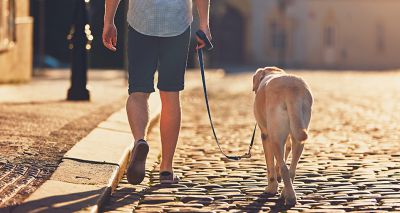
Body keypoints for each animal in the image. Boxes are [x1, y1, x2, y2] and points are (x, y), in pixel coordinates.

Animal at [253, 66, 312, 205]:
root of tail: (292, 89)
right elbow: (285, 152)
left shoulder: (265, 135)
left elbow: (270, 164)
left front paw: (271, 187)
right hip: (298, 134)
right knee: (292, 168)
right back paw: (287, 192)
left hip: (274, 137)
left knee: (285, 167)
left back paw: (289, 197)